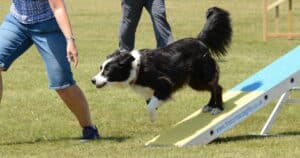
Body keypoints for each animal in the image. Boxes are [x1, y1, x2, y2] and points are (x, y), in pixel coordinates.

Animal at [91, 6, 232, 121]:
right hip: (194, 82)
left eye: (107, 71)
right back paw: (209, 105)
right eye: (100, 68)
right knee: (212, 88)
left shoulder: (165, 83)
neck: (137, 68)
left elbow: (150, 106)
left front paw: (153, 118)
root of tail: (199, 40)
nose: (92, 80)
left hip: (201, 76)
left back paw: (217, 108)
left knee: (217, 87)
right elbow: (151, 102)